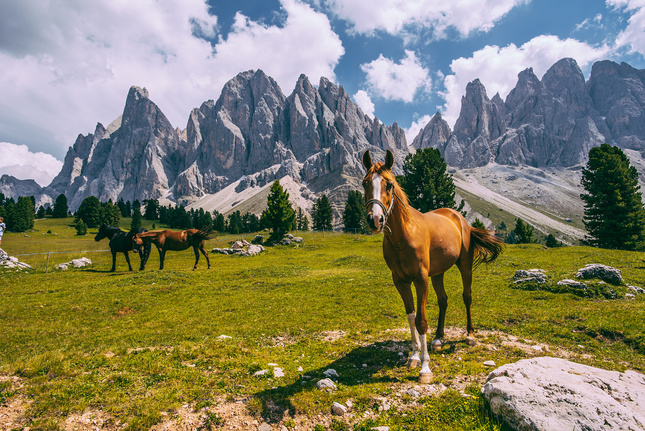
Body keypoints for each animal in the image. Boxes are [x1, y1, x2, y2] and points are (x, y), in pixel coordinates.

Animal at [362, 150, 504, 384]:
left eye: (389, 184)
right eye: (365, 183)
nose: (375, 219)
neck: (403, 236)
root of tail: (459, 218)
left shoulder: (420, 279)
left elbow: (421, 320)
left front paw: (425, 368)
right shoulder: (400, 280)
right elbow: (411, 316)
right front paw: (413, 356)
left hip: (464, 266)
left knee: (467, 297)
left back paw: (470, 335)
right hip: (438, 274)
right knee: (443, 300)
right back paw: (438, 339)